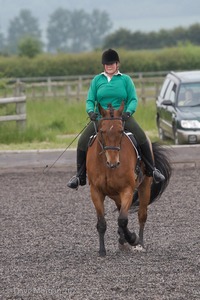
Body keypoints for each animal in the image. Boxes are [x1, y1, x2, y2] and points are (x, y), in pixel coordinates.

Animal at [86, 102, 172, 256]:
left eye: (121, 131)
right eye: (102, 131)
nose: (113, 162)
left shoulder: (127, 190)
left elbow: (122, 219)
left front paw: (132, 238)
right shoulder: (96, 192)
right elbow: (101, 223)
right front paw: (102, 251)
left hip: (144, 187)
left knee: (141, 215)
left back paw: (139, 243)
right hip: (115, 195)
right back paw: (122, 241)